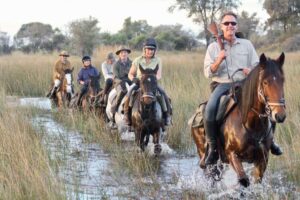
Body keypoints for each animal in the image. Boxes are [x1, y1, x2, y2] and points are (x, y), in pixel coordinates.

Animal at [191, 53, 288, 188]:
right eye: (265, 82)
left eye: (282, 80)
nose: (280, 115)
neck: (251, 124)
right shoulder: (232, 155)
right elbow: (244, 181)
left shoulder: (262, 159)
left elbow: (256, 182)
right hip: (205, 157)